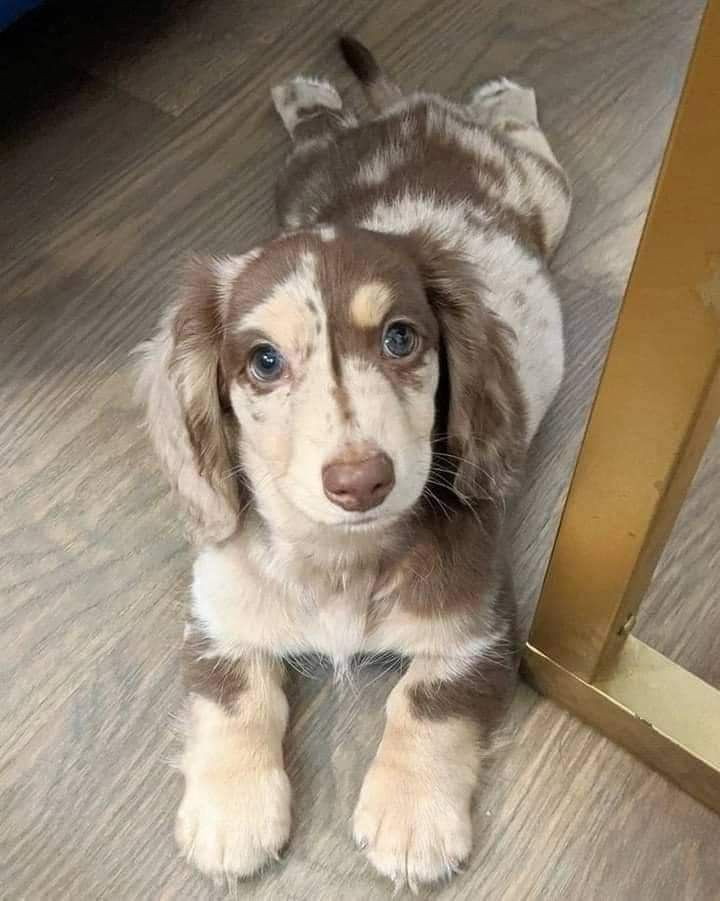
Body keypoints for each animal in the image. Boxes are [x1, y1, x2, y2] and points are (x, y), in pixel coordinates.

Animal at [138, 37, 572, 892]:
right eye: (263, 361)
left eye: (401, 338)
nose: (360, 482)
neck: (336, 557)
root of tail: (410, 114)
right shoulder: (215, 612)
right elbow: (234, 696)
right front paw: (231, 812)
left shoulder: (481, 629)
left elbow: (427, 702)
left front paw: (411, 816)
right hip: (300, 175)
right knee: (319, 127)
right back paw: (306, 93)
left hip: (549, 197)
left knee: (529, 144)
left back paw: (505, 97)